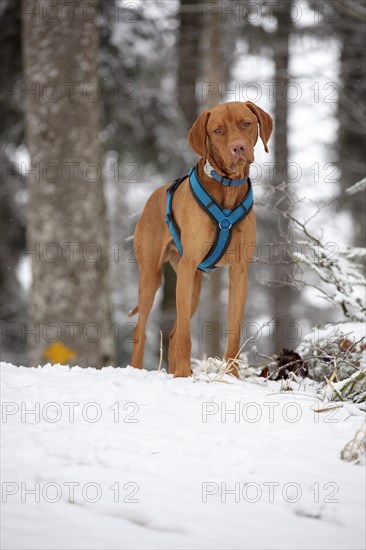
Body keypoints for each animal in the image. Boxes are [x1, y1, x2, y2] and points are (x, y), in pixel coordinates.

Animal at [129, 101, 272, 380]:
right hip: (153, 277)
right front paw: (183, 374)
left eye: (246, 124)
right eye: (217, 130)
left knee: (173, 333)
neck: (227, 187)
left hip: (193, 284)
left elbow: (234, 333)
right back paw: (138, 371)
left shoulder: (239, 272)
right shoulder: (188, 266)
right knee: (142, 331)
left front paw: (232, 377)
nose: (238, 147)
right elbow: (186, 334)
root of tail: (152, 196)